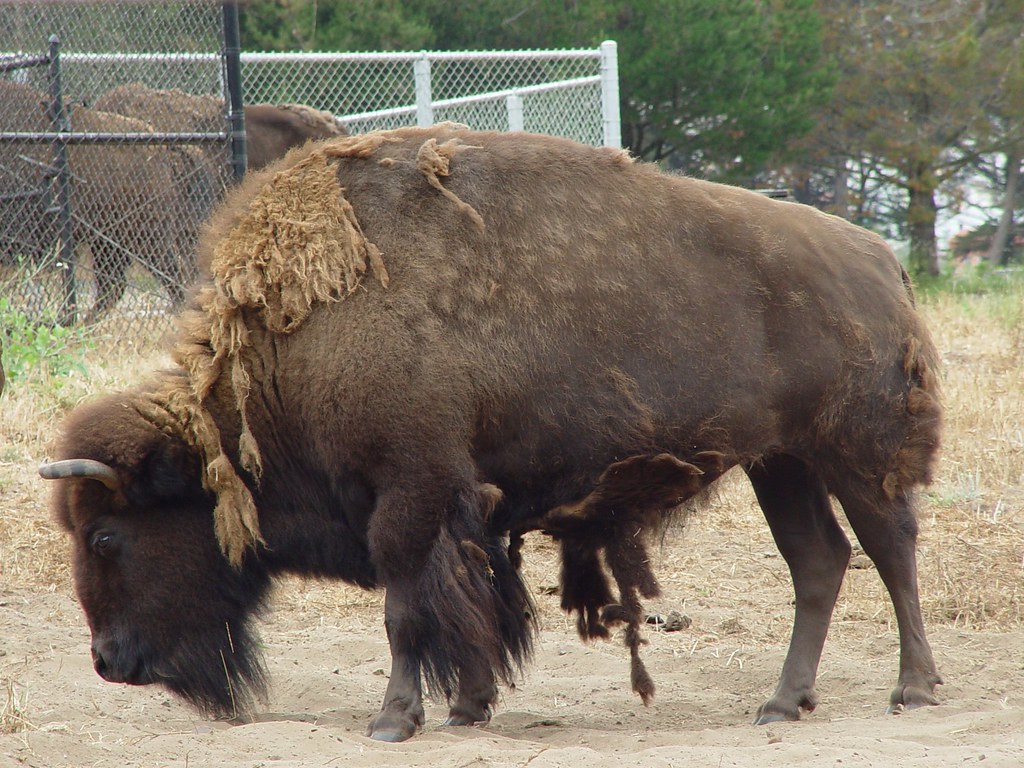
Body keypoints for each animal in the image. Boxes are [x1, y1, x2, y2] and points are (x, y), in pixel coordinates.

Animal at [41, 127, 943, 742]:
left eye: (109, 536)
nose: (107, 662)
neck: (302, 334)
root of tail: (880, 258)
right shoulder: (451, 505)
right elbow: (466, 602)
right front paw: (469, 707)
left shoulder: (408, 493)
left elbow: (407, 608)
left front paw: (394, 720)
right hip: (781, 462)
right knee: (818, 560)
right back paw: (781, 703)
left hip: (854, 456)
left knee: (890, 550)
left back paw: (914, 690)